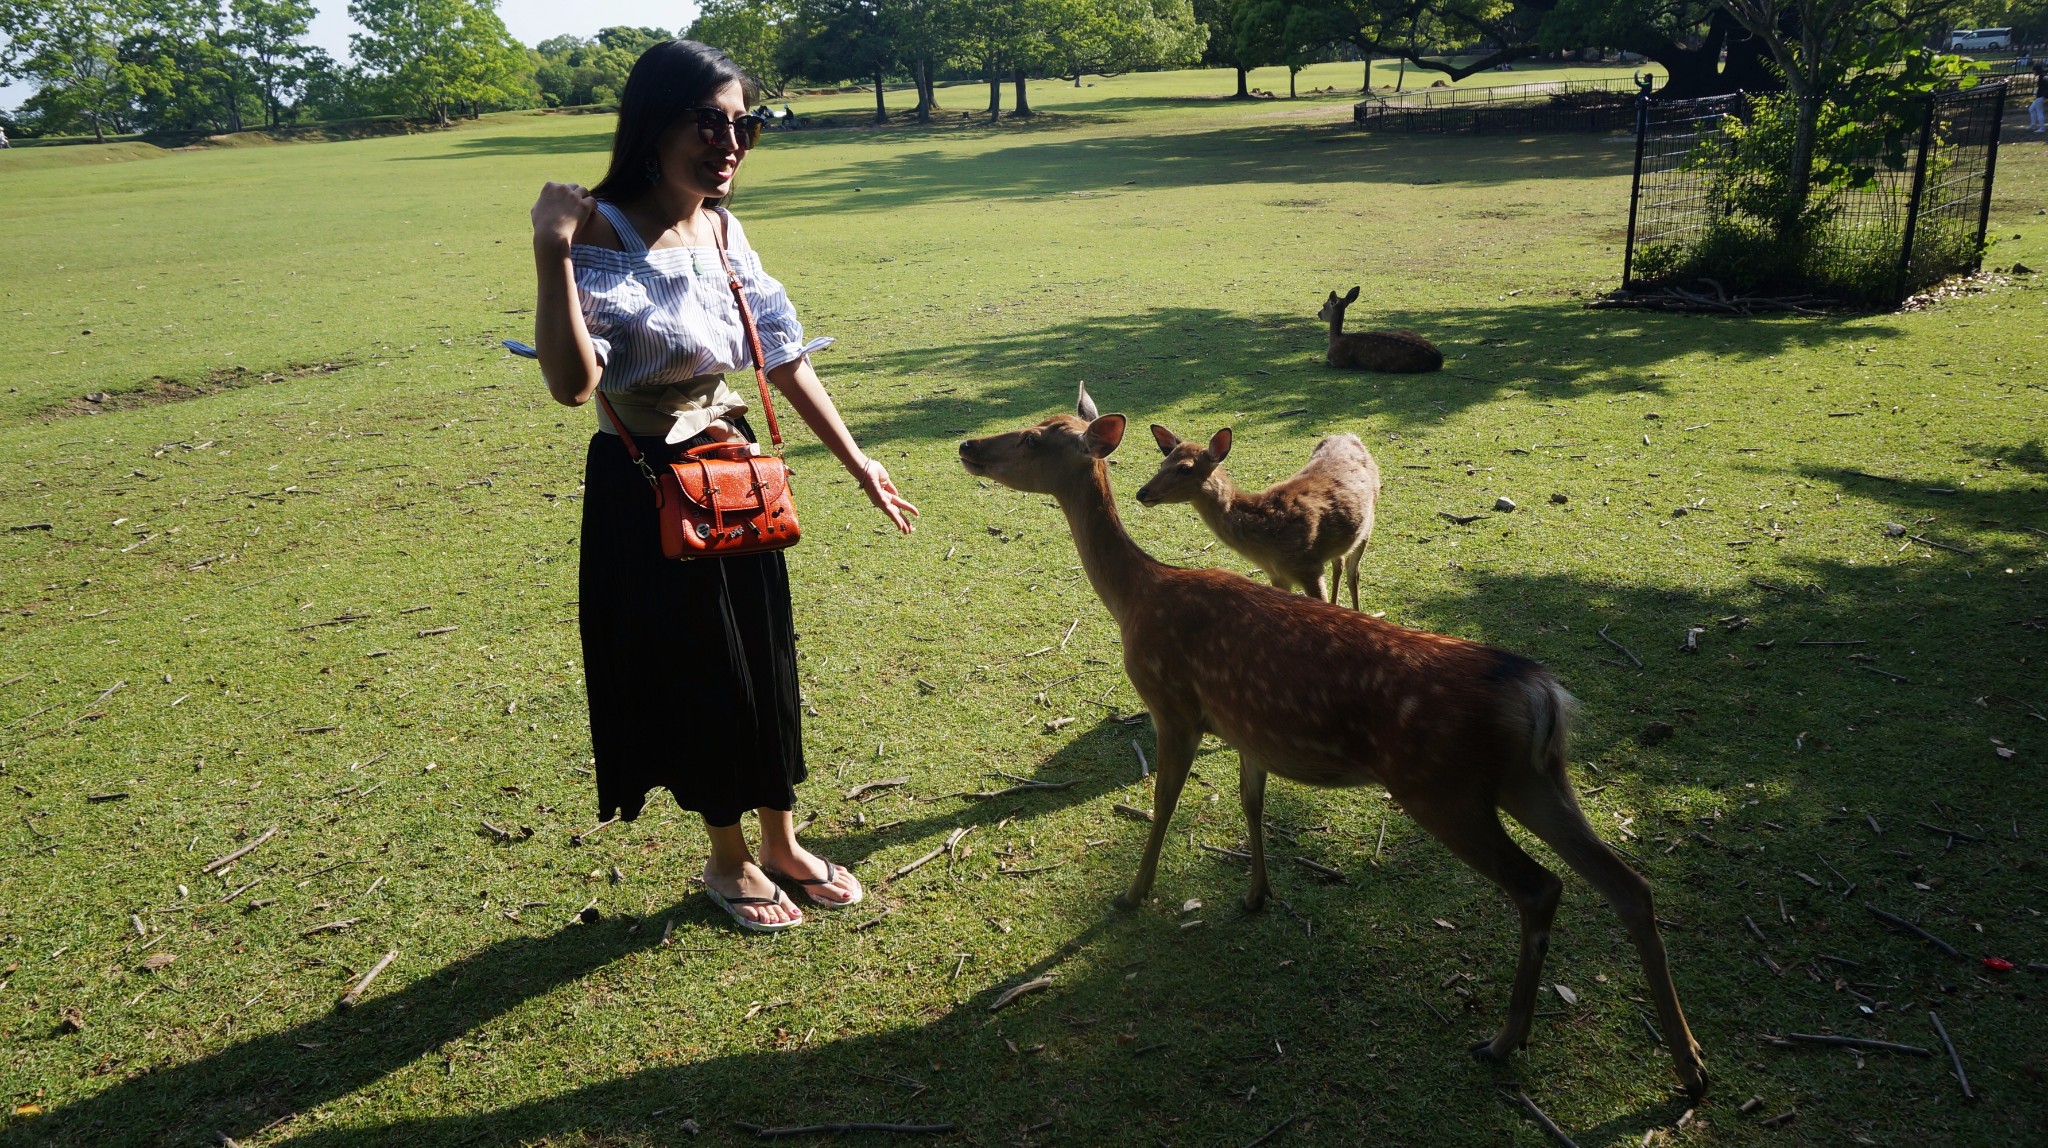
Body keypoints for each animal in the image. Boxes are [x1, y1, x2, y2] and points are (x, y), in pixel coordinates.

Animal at [1130, 423, 1384, 609]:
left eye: (1185, 468)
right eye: (1162, 462)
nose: (1142, 493)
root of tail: (1351, 436)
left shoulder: (1309, 566)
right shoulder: (1277, 574)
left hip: (1369, 524)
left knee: (1353, 572)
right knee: (1339, 562)